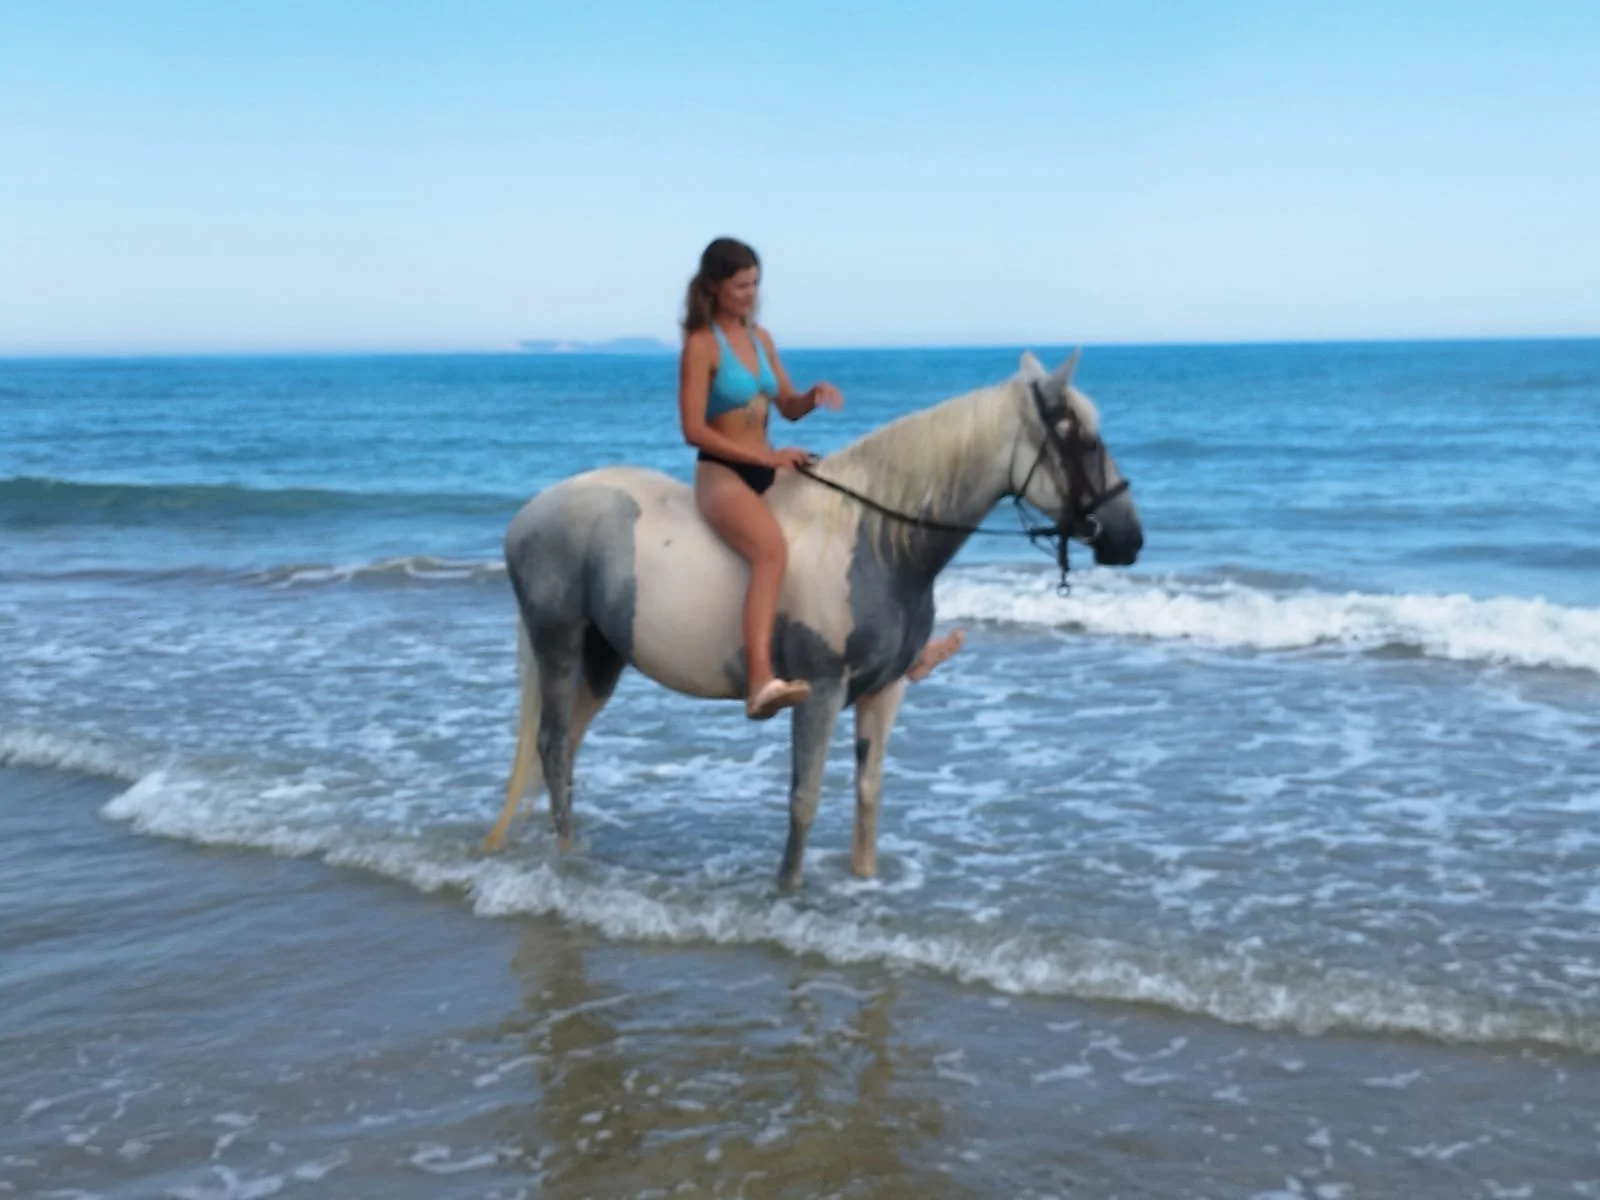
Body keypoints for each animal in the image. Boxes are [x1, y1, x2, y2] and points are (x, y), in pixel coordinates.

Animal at [480, 349, 1143, 889]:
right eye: (1084, 440)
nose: (1129, 540)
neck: (875, 542)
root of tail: (527, 516)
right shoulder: (819, 691)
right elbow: (805, 798)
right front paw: (789, 889)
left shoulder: (884, 691)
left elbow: (868, 795)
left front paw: (862, 881)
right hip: (560, 643)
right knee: (553, 747)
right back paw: (568, 857)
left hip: (602, 658)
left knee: (565, 750)